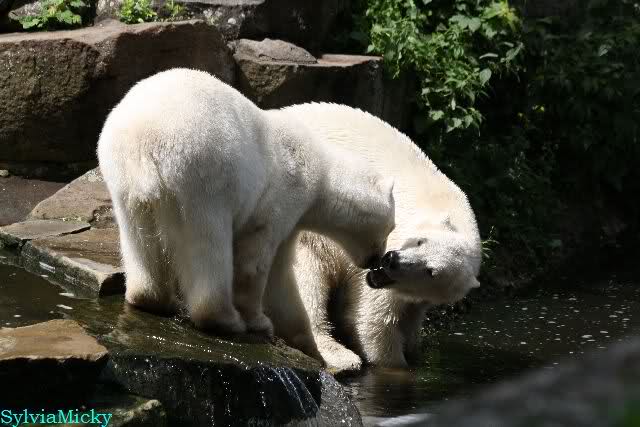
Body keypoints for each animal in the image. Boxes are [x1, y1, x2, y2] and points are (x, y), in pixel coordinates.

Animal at [97, 69, 396, 356]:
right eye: (391, 227)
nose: (377, 260)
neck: (320, 173)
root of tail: (143, 142)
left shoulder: (291, 222)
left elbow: (281, 276)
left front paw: (306, 341)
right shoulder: (284, 193)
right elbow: (256, 263)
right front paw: (260, 322)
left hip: (122, 180)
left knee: (137, 237)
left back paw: (152, 298)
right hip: (201, 174)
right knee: (209, 243)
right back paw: (225, 319)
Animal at [269, 103, 482, 370]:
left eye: (431, 271)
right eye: (420, 241)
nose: (392, 260)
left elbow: (410, 316)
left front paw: (413, 350)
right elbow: (375, 320)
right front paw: (396, 364)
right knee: (308, 276)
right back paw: (339, 354)